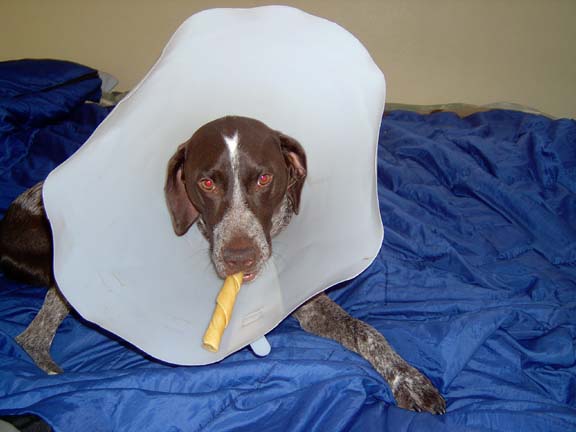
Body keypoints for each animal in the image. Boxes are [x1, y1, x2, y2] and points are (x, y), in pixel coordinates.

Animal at [0, 116, 445, 414]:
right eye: (206, 182)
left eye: (265, 179)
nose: (239, 256)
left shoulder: (309, 303)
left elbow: (367, 332)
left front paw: (408, 377)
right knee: (31, 335)